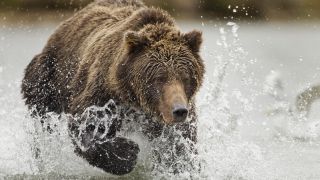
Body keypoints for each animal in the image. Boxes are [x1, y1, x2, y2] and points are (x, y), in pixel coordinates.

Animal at [21, 0, 205, 175]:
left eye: (185, 77)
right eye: (159, 78)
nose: (179, 111)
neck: (135, 101)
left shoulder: (176, 119)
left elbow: (180, 147)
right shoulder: (104, 93)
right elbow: (86, 124)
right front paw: (127, 153)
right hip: (49, 77)